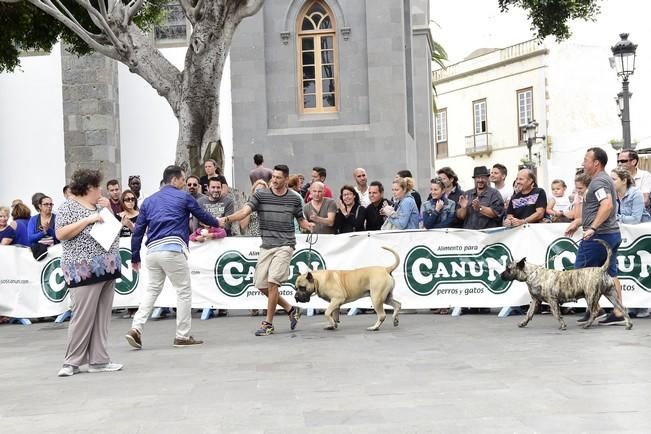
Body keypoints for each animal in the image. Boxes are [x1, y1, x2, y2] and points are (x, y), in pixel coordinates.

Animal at [502, 239, 636, 330]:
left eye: (508, 269)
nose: (501, 275)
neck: (531, 273)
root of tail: (602, 269)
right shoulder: (535, 300)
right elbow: (529, 314)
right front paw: (523, 323)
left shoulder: (552, 300)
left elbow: (557, 314)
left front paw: (562, 325)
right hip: (612, 295)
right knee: (622, 308)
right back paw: (628, 324)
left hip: (591, 296)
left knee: (594, 312)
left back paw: (587, 324)